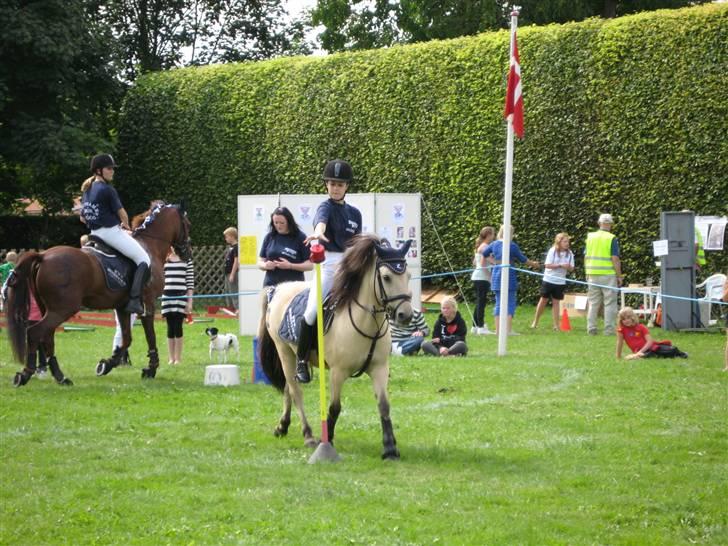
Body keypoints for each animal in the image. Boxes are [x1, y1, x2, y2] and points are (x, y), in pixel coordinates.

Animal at [6, 202, 191, 384]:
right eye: (187, 224)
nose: (187, 253)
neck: (150, 245)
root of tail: (43, 256)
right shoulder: (148, 303)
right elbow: (150, 336)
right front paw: (151, 369)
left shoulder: (123, 307)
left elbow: (126, 338)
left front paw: (107, 364)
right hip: (63, 309)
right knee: (35, 333)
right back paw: (27, 374)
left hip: (48, 309)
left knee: (47, 336)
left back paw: (60, 376)